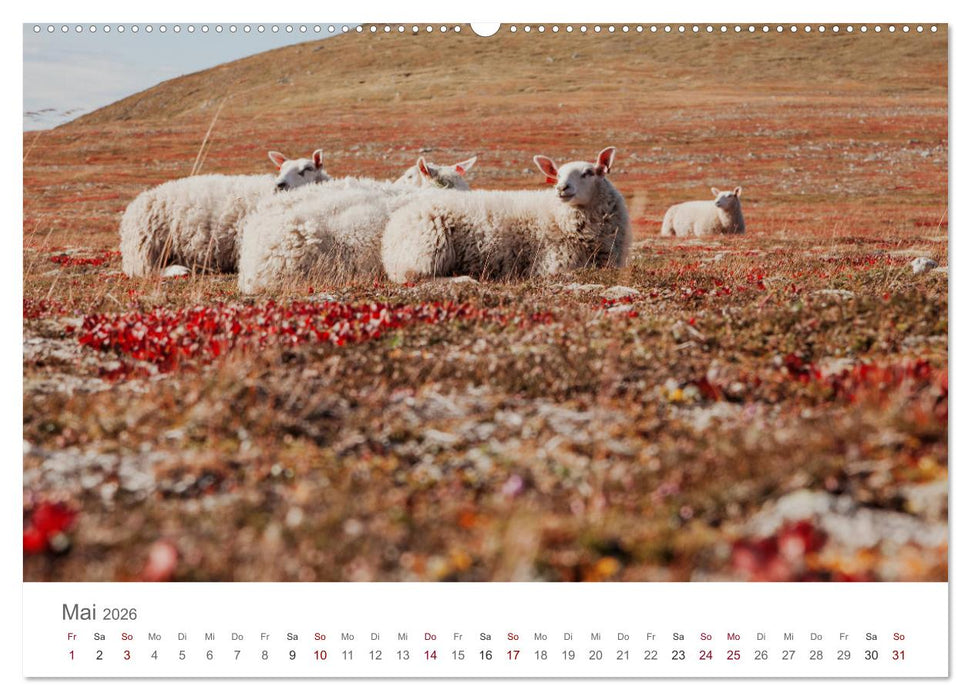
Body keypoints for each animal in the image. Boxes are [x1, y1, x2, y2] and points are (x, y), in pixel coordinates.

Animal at [120, 150, 330, 277]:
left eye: (307, 169)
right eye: (281, 169)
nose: (279, 184)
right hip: (146, 246)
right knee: (145, 271)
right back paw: (179, 270)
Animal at [381, 147, 630, 283]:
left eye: (589, 173)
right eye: (557, 174)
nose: (561, 188)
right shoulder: (555, 264)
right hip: (427, 248)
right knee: (415, 277)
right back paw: (464, 280)